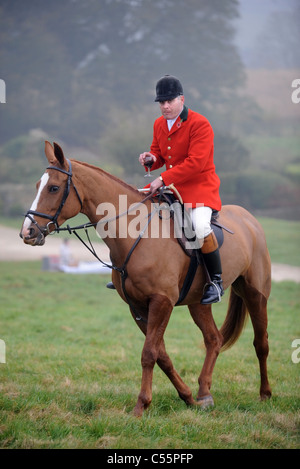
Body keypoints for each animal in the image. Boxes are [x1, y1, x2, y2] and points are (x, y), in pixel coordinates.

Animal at [19, 141, 272, 414]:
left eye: (54, 188)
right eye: (37, 185)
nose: (27, 232)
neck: (138, 232)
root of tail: (249, 218)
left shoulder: (162, 302)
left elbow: (149, 353)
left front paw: (141, 405)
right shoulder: (138, 307)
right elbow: (161, 355)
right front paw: (187, 397)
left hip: (255, 294)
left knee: (260, 343)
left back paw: (265, 393)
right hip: (198, 302)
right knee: (213, 339)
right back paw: (204, 394)